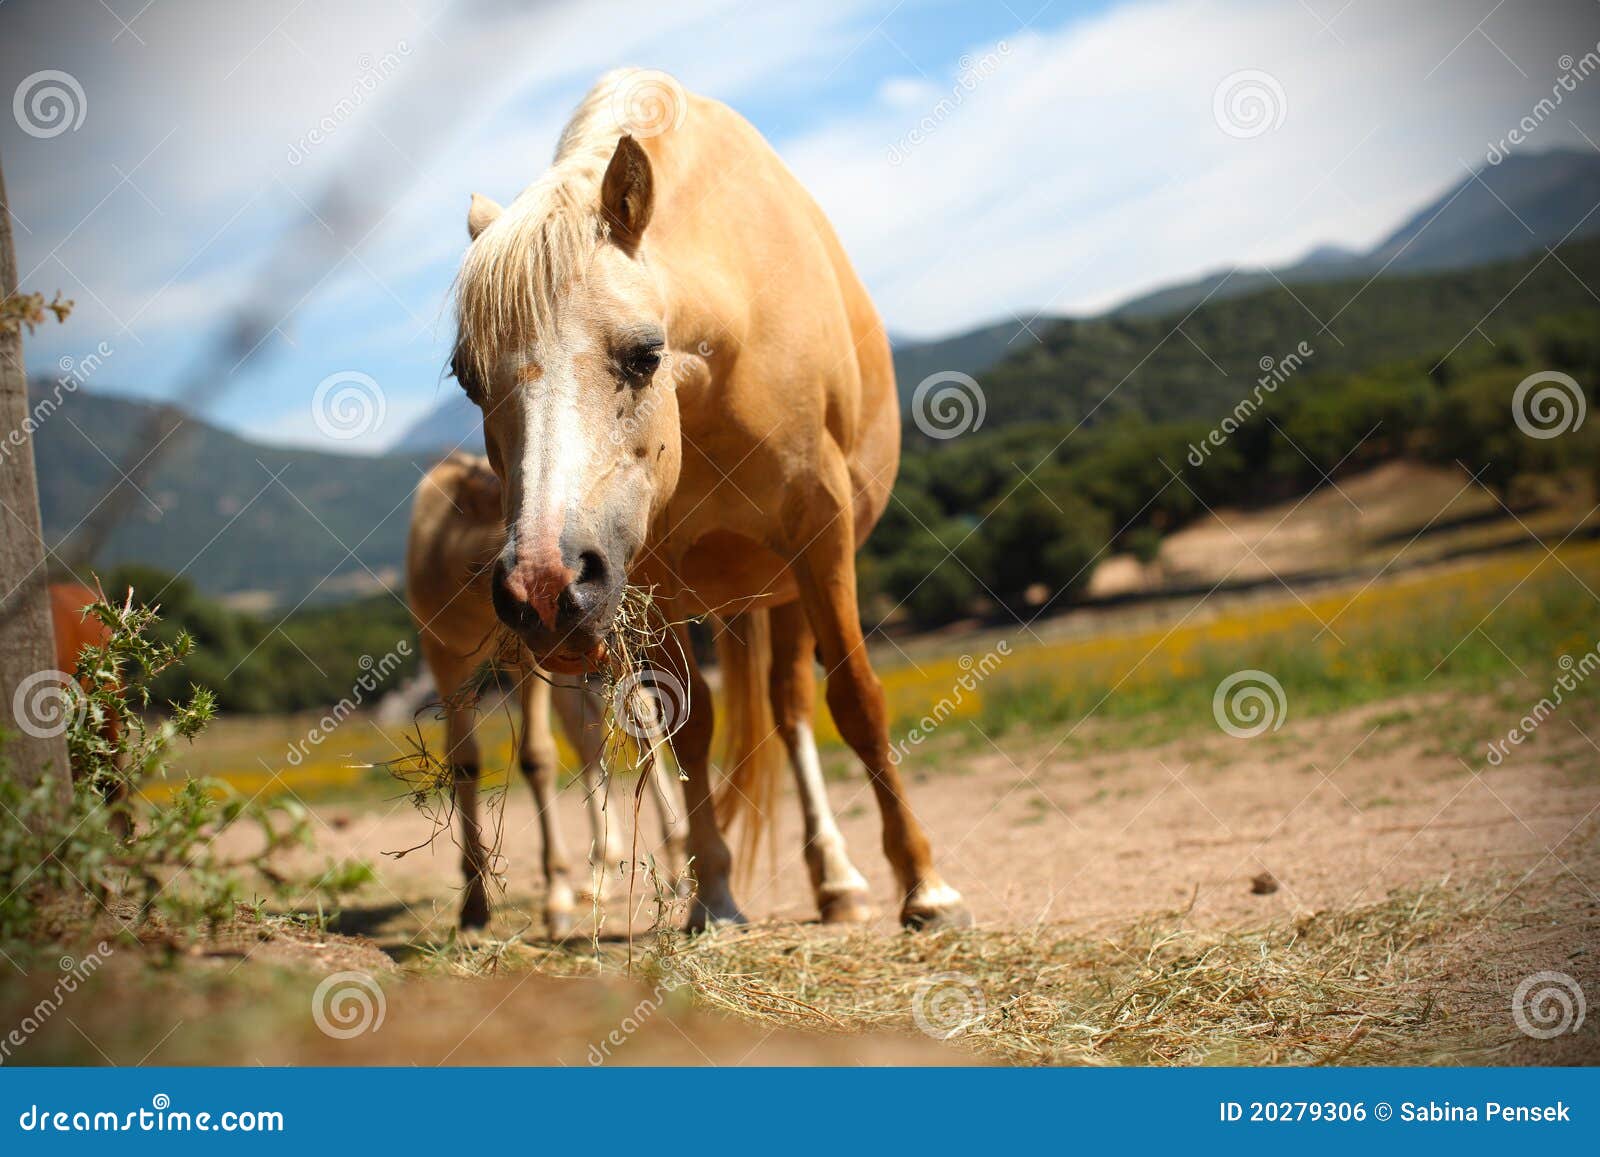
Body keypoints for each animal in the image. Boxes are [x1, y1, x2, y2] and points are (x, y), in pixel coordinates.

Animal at [406, 451, 689, 935]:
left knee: (643, 722)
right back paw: (599, 876)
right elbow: (463, 762)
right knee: (589, 739)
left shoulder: (528, 659)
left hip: (606, 659)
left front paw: (555, 898)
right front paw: (473, 906)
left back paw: (674, 868)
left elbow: (537, 757)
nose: (573, 597)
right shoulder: (444, 658)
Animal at [446, 70, 969, 932]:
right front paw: (714, 896)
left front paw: (926, 885)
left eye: (643, 353)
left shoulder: (822, 535)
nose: (544, 589)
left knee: (793, 708)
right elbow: (688, 732)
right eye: (466, 379)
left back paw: (839, 878)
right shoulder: (648, 577)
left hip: (788, 585)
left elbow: (856, 701)